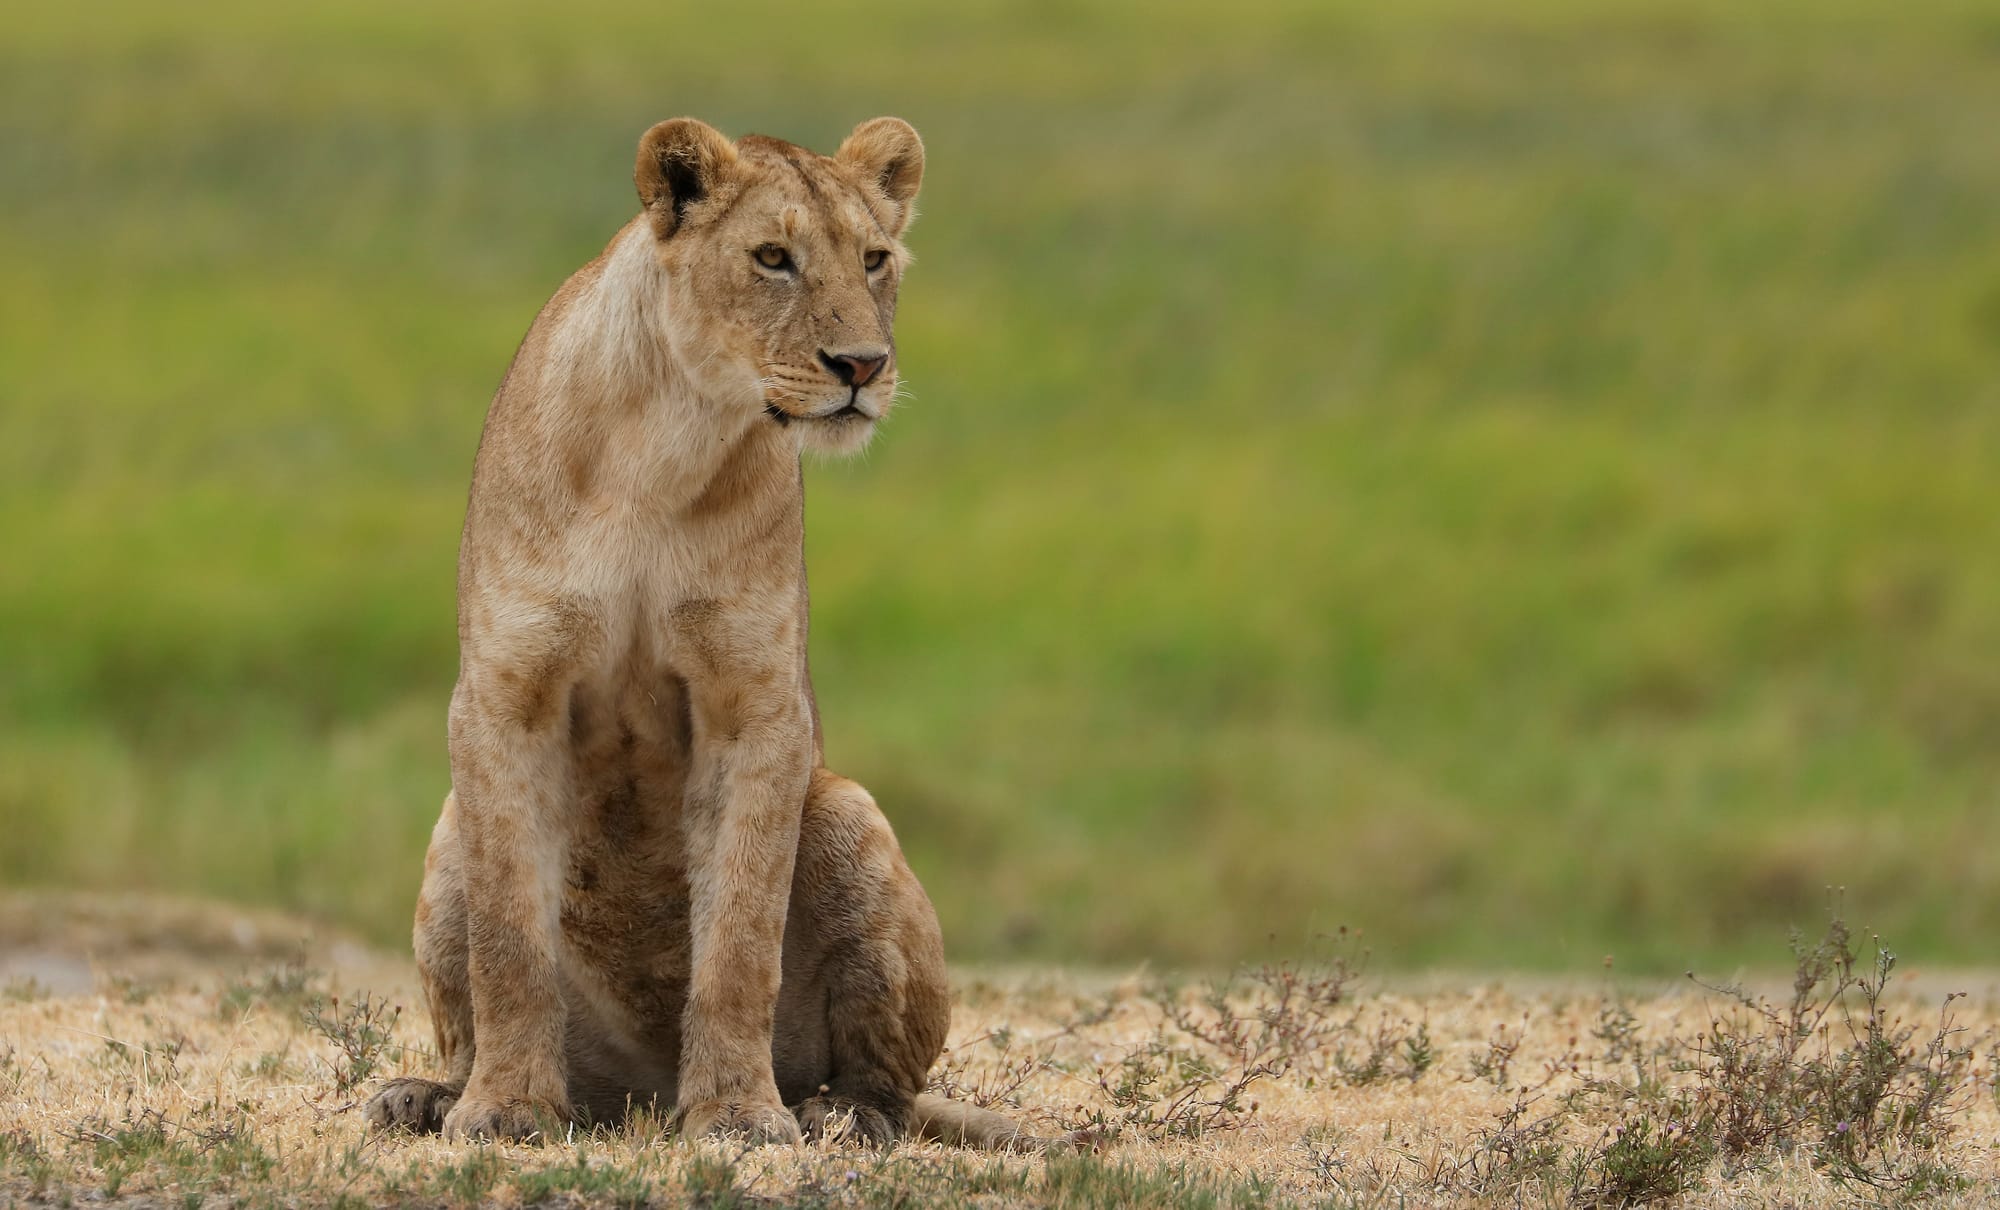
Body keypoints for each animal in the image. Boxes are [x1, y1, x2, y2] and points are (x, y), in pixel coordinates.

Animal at [366, 118, 1064, 1144]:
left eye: (874, 259)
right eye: (772, 258)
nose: (863, 366)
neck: (667, 443)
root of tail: (642, 1099)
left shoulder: (756, 705)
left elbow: (737, 940)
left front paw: (738, 1113)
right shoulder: (505, 693)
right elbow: (508, 946)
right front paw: (503, 1110)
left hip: (848, 812)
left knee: (891, 1084)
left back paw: (838, 1116)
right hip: (450, 831)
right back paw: (428, 1094)